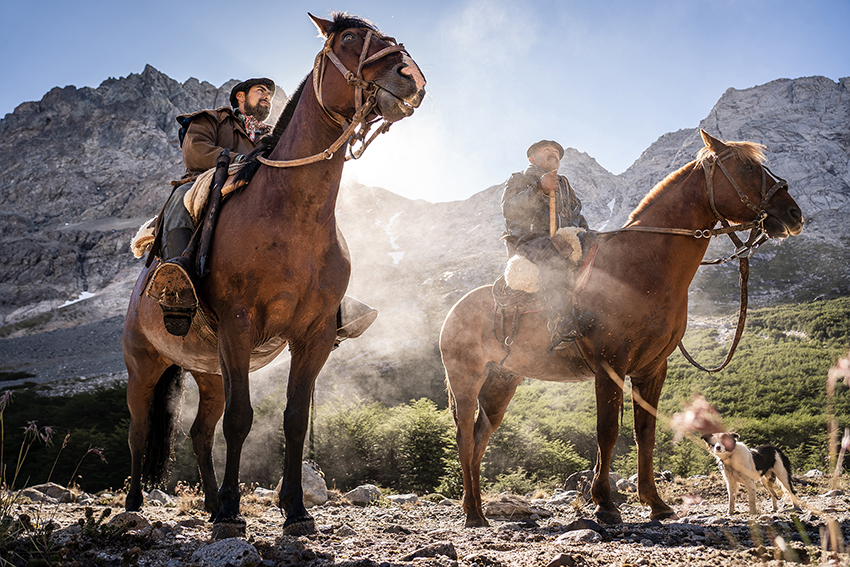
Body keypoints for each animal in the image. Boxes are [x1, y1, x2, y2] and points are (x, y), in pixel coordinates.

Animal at [121, 12, 424, 536]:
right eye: (349, 38)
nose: (412, 78)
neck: (292, 216)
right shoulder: (239, 327)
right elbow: (241, 420)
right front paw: (233, 512)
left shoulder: (313, 336)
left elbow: (294, 419)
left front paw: (295, 510)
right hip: (144, 365)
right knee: (140, 431)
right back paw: (137, 503)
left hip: (209, 373)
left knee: (200, 432)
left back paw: (207, 502)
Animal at [438, 131, 800, 532]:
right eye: (748, 167)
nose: (793, 215)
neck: (641, 268)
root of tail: (453, 312)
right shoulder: (609, 365)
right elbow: (607, 432)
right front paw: (605, 504)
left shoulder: (651, 369)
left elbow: (646, 434)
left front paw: (656, 503)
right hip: (467, 381)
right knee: (464, 437)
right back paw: (472, 512)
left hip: (501, 385)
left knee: (480, 438)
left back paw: (480, 511)